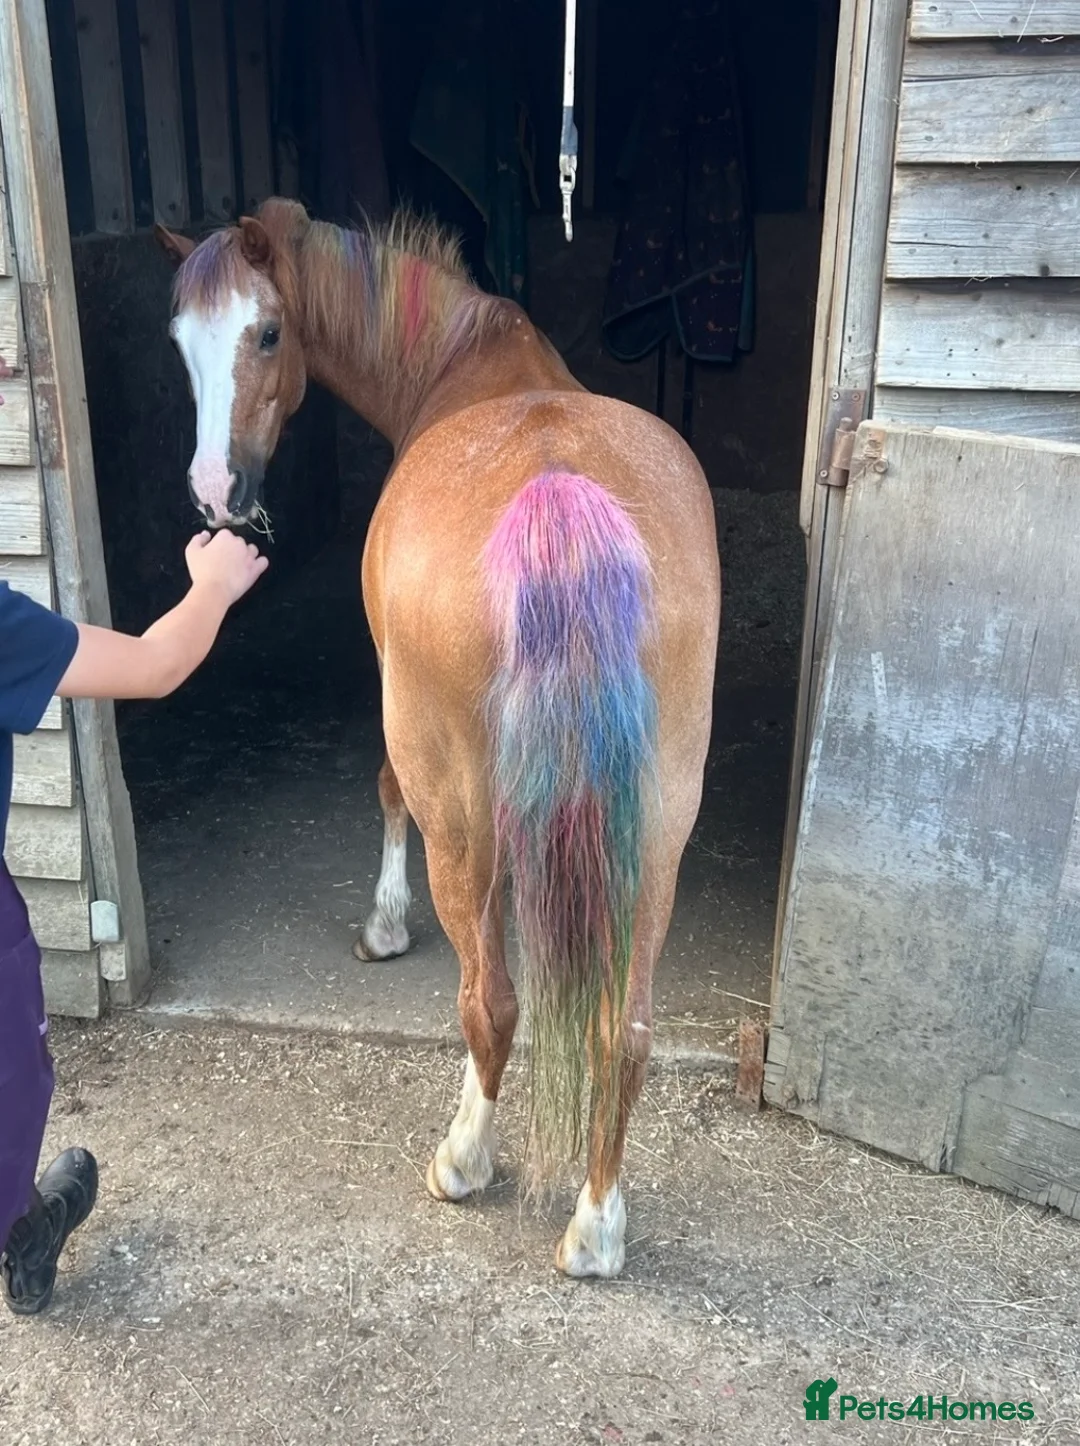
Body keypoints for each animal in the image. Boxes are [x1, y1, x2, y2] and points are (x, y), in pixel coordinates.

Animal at [155, 200, 720, 1278]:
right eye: (179, 342)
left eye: (269, 333)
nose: (211, 490)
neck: (467, 358)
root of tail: (558, 492)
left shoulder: (396, 709)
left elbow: (381, 793)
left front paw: (383, 923)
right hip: (657, 833)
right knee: (620, 1029)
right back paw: (598, 1226)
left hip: (464, 817)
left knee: (490, 1001)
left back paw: (464, 1160)